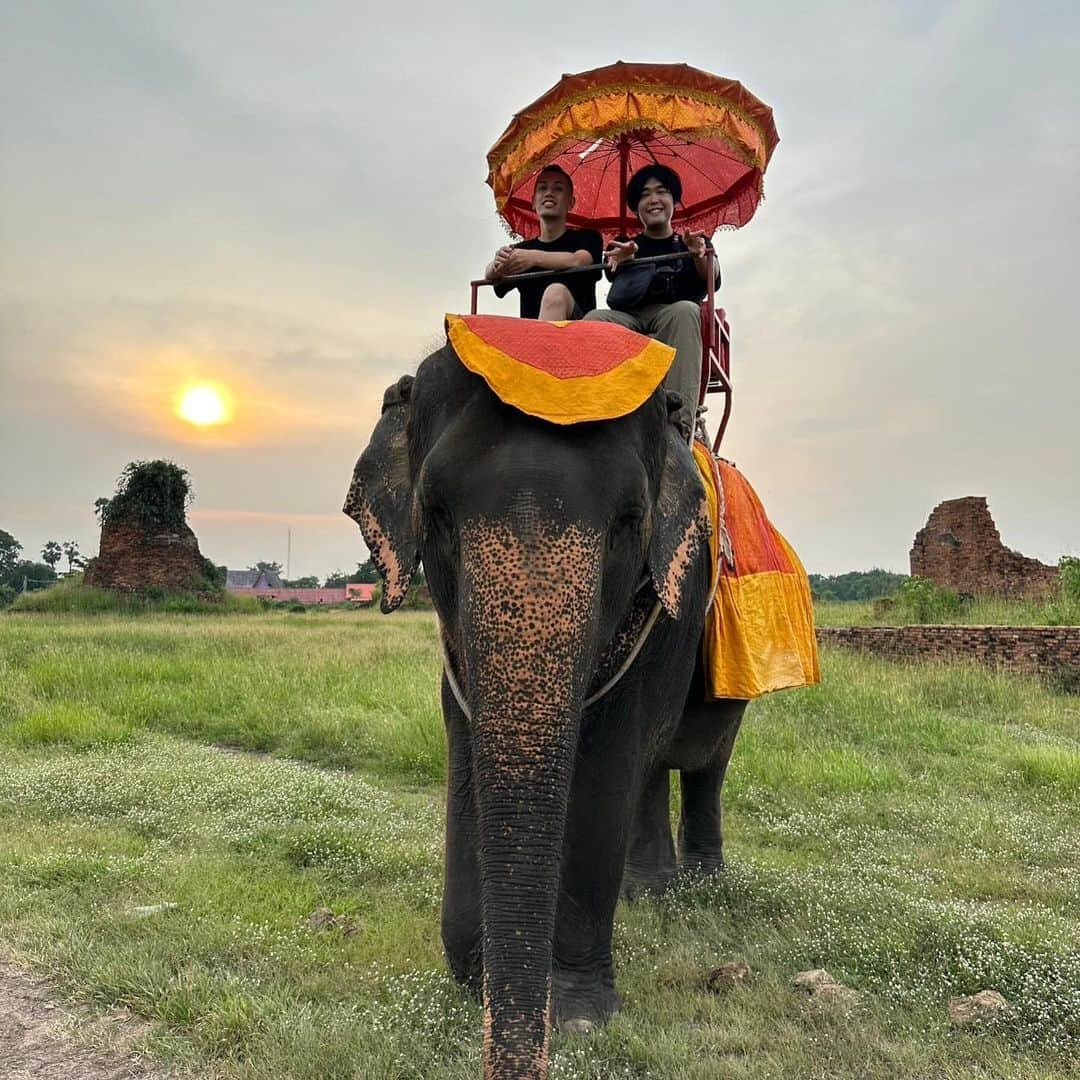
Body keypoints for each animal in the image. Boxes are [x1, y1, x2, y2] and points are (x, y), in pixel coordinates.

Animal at [345, 345, 743, 1080]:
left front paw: (581, 1016)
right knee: (652, 770)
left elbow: (607, 765)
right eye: (436, 513)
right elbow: (468, 752)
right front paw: (473, 979)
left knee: (704, 758)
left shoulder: (660, 604)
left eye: (629, 522)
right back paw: (650, 894)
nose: (528, 1051)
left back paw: (699, 888)